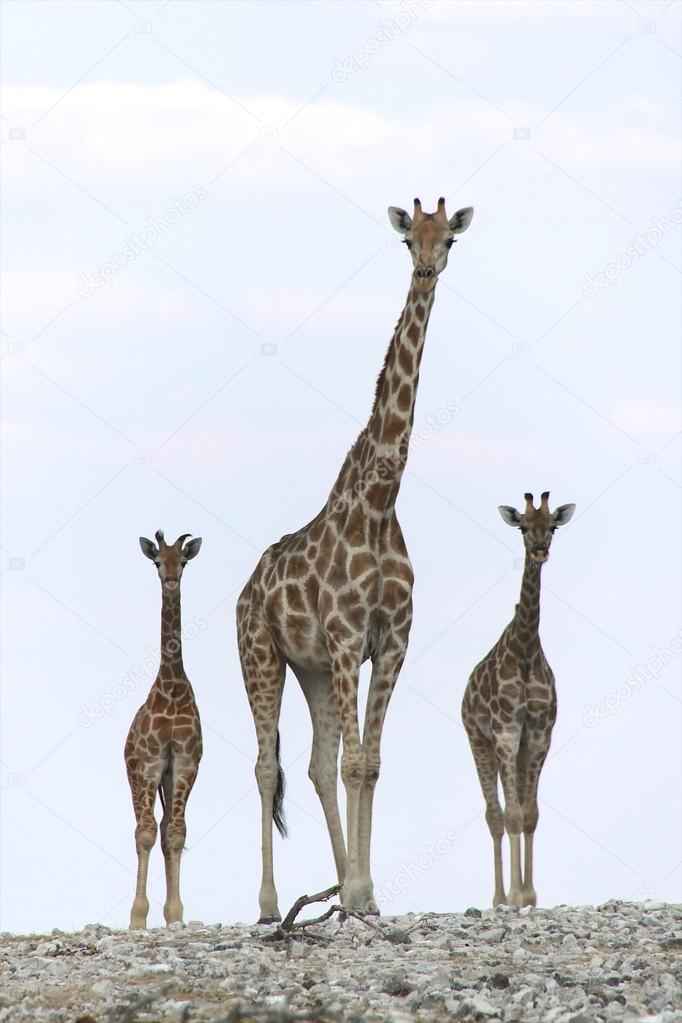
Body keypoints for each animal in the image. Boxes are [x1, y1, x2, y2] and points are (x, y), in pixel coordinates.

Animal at [237, 197, 472, 920]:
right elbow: (353, 763)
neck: (379, 500)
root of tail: (244, 590)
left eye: (449, 238)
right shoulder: (347, 637)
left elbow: (368, 761)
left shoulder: (391, 640)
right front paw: (362, 891)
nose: (426, 268)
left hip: (311, 669)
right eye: (406, 239)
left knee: (315, 763)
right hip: (261, 657)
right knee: (266, 764)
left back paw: (335, 889)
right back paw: (269, 903)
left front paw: (366, 895)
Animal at [464, 491, 576, 908]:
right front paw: (513, 895)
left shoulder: (539, 734)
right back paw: (497, 897)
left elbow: (530, 815)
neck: (526, 650)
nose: (541, 550)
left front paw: (530, 894)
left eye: (554, 526)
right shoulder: (506, 732)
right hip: (479, 741)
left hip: (515, 747)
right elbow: (510, 815)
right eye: (524, 528)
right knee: (494, 816)